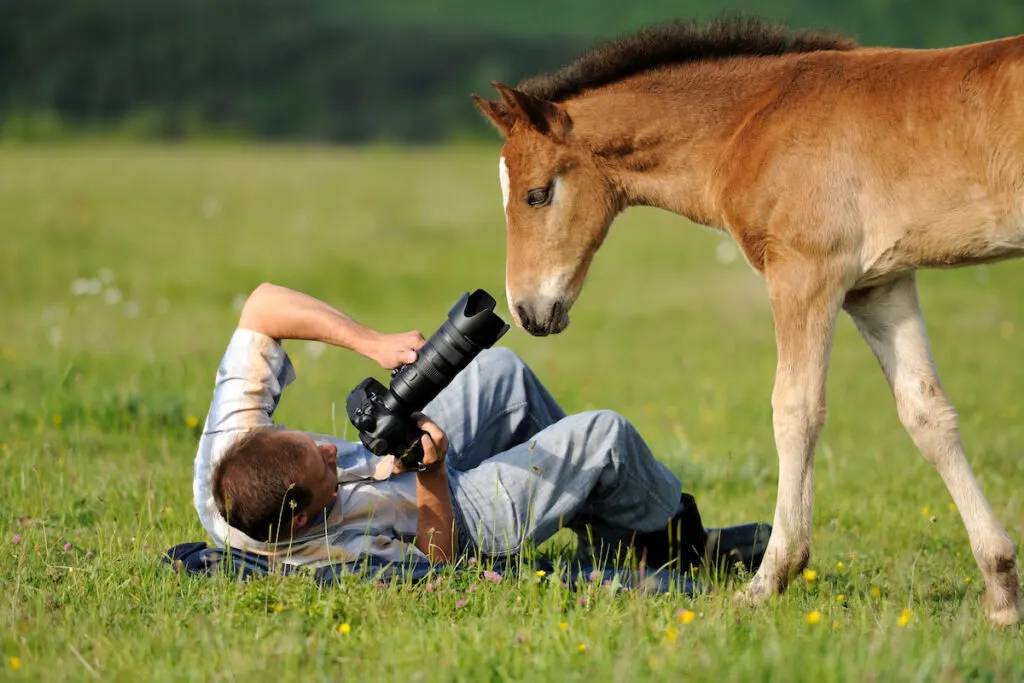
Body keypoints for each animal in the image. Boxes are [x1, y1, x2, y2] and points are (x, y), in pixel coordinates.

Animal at [471, 15, 1024, 626]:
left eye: (536, 194)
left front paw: (769, 580)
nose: (526, 311)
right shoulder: (879, 284)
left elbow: (796, 412)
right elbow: (927, 413)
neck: (753, 125)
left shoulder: (805, 272)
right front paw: (1002, 589)